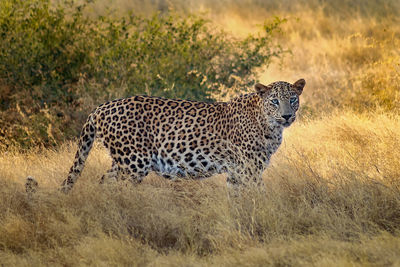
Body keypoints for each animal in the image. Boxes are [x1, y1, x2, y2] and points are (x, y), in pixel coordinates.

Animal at [25, 78, 306, 194]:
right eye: (274, 101)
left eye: (293, 99)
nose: (287, 116)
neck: (269, 125)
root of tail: (100, 107)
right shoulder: (249, 169)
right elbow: (260, 194)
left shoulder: (237, 171)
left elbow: (237, 198)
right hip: (134, 163)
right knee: (119, 187)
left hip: (124, 161)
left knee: (104, 180)